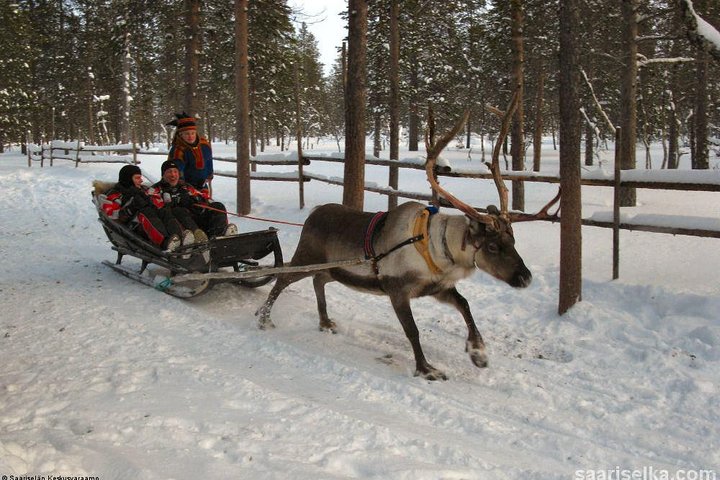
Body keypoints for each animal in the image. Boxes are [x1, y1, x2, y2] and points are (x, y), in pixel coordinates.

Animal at [255, 93, 560, 380]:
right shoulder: (397, 290)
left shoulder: (438, 288)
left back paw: (325, 321)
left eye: (513, 241)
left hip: (333, 269)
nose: (526, 277)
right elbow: (412, 331)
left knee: (318, 281)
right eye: (493, 246)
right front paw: (426, 369)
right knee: (282, 279)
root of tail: (313, 214)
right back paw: (263, 317)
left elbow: (465, 304)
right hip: (306, 256)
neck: (437, 250)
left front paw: (478, 354)